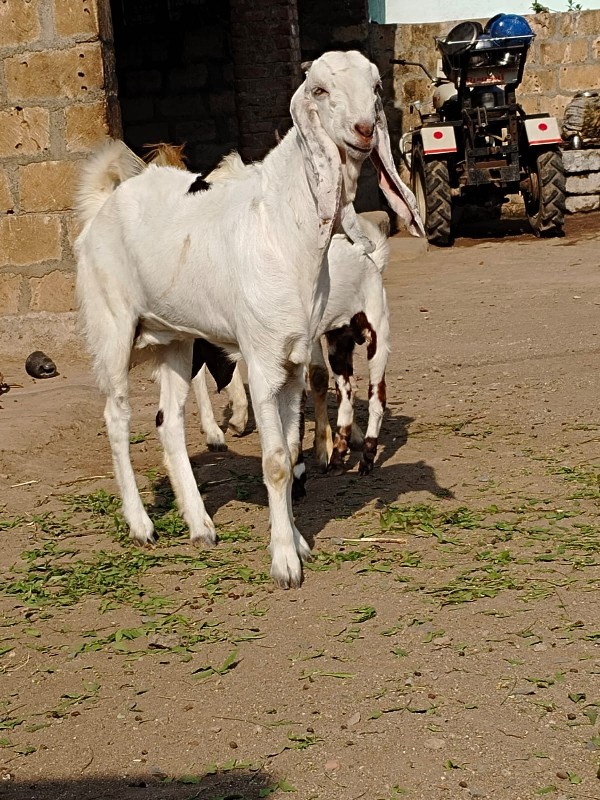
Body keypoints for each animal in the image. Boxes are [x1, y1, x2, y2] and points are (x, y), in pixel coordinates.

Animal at [75, 51, 422, 588]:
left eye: (377, 88)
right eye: (319, 89)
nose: (364, 129)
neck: (279, 226)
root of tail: (101, 207)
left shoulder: (294, 360)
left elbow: (293, 448)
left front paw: (298, 540)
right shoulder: (260, 361)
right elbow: (276, 460)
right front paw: (284, 561)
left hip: (177, 341)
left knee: (168, 421)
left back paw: (201, 526)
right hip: (112, 327)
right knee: (116, 416)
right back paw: (141, 525)